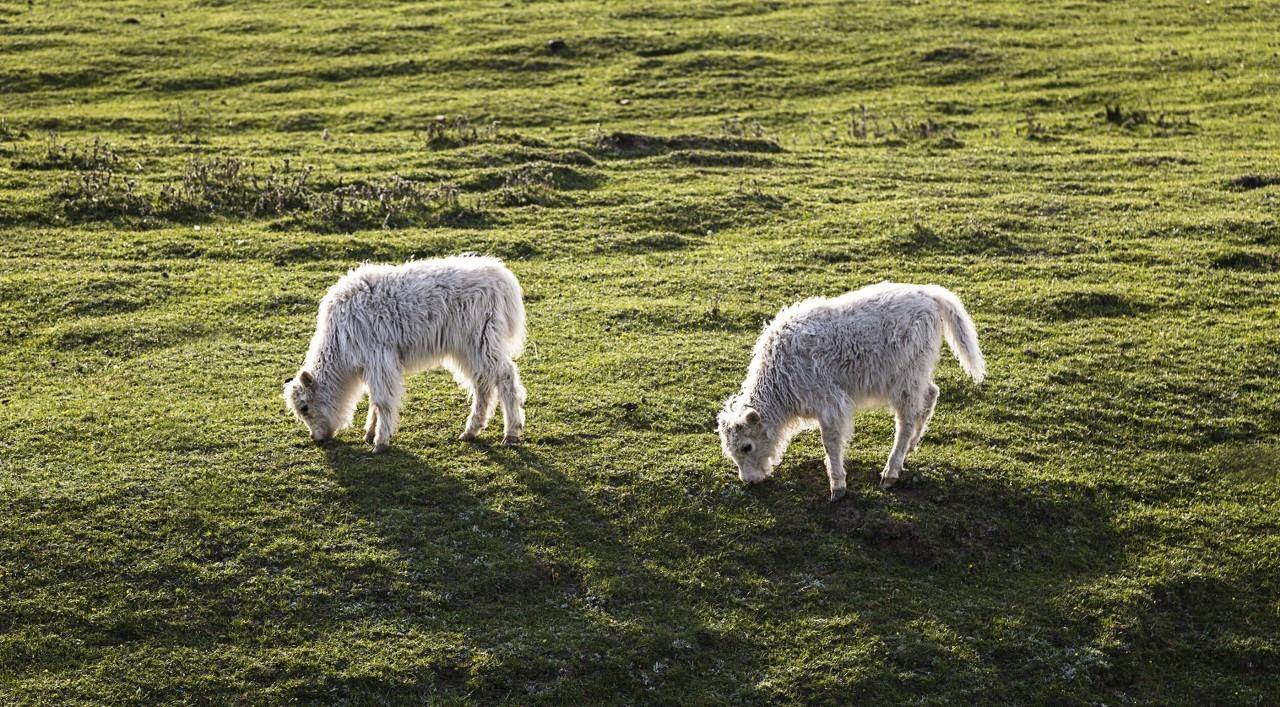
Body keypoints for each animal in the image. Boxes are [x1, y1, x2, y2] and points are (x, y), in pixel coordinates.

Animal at [288, 257, 527, 450]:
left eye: (305, 407)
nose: (316, 438)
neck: (339, 338)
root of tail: (500, 276)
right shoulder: (372, 365)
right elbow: (374, 400)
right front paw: (370, 433)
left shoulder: (379, 359)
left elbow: (382, 400)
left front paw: (380, 442)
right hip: (467, 350)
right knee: (482, 384)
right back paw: (471, 431)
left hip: (482, 341)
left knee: (505, 376)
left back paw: (511, 433)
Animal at [721, 281, 977, 502]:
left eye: (747, 446)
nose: (749, 481)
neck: (780, 376)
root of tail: (930, 295)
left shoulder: (831, 404)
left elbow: (831, 443)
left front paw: (837, 487)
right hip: (916, 376)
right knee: (930, 395)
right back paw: (912, 446)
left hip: (906, 379)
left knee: (906, 421)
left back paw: (890, 473)